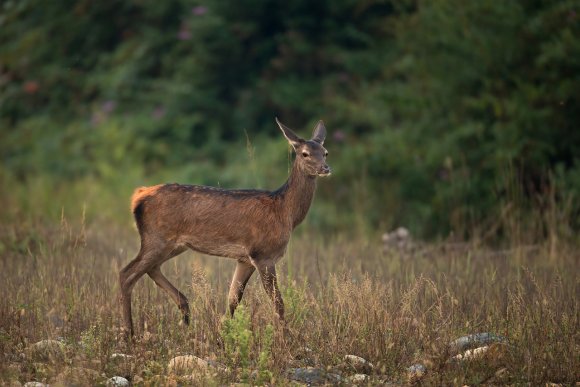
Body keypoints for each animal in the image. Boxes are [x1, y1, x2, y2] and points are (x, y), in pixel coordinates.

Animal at [119, 117, 328, 336]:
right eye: (304, 153)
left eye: (325, 152)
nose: (325, 168)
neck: (285, 212)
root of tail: (138, 196)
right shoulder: (263, 253)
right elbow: (278, 302)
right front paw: (286, 338)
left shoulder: (245, 259)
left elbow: (233, 299)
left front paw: (222, 333)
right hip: (157, 238)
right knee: (126, 274)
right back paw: (128, 332)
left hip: (173, 244)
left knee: (151, 268)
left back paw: (185, 312)